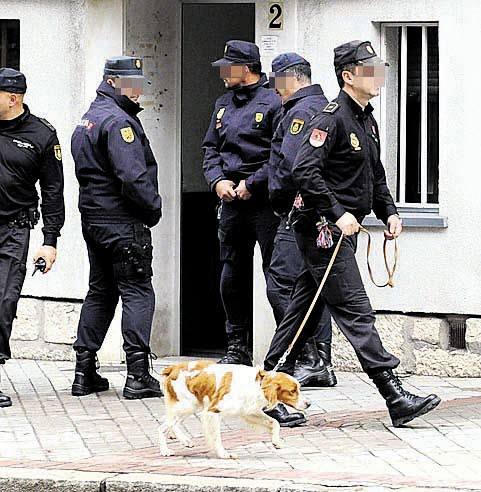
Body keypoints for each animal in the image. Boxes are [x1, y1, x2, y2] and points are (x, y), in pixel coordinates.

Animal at [158, 360, 308, 460]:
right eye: (292, 391)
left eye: (298, 389)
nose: (309, 404)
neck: (257, 384)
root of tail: (173, 368)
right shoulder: (213, 411)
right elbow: (216, 437)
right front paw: (223, 454)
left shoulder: (249, 412)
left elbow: (275, 423)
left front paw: (276, 442)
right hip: (187, 405)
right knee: (163, 426)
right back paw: (165, 450)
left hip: (190, 406)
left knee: (170, 422)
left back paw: (185, 440)